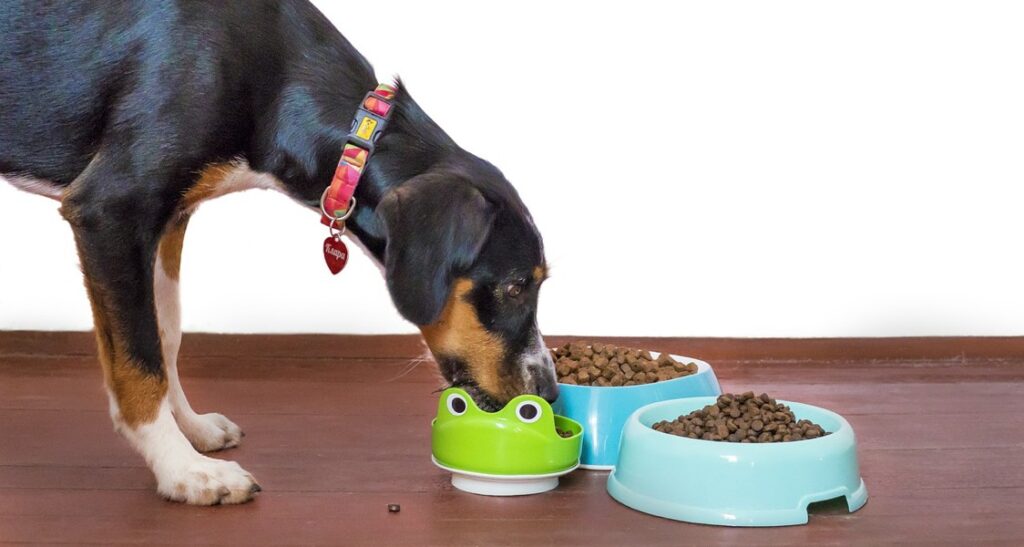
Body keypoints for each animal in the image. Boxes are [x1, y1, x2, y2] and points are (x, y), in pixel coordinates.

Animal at [2, 1, 561, 506]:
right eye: (514, 286)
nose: (549, 393)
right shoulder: (111, 209)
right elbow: (140, 361)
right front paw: (183, 470)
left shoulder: (170, 218)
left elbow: (165, 334)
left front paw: (192, 430)